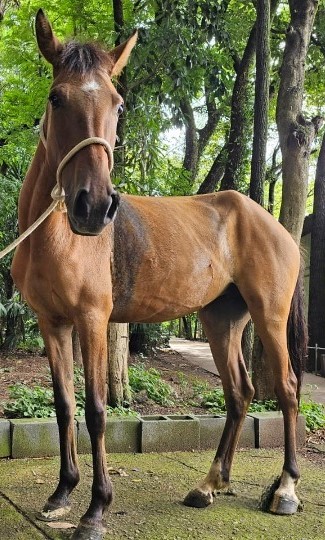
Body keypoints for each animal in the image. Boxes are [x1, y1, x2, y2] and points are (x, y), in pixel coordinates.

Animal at [11, 9, 306, 540]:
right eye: (56, 98)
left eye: (119, 103)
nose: (94, 206)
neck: (55, 237)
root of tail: (268, 219)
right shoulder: (51, 322)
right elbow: (64, 405)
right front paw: (61, 494)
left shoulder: (92, 319)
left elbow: (96, 410)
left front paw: (96, 508)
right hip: (221, 320)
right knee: (240, 392)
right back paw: (210, 484)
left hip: (269, 315)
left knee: (287, 388)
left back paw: (286, 489)